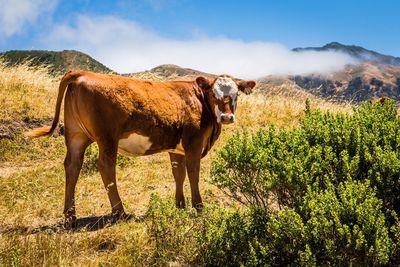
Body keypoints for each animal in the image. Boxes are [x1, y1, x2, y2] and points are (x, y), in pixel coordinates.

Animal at [25, 70, 256, 227]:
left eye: (236, 95)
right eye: (214, 95)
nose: (226, 117)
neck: (199, 100)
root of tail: (83, 73)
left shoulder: (176, 148)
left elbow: (178, 174)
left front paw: (180, 205)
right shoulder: (193, 143)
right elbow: (193, 174)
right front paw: (198, 207)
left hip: (76, 136)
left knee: (72, 167)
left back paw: (70, 216)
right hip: (107, 138)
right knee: (106, 168)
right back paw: (120, 212)